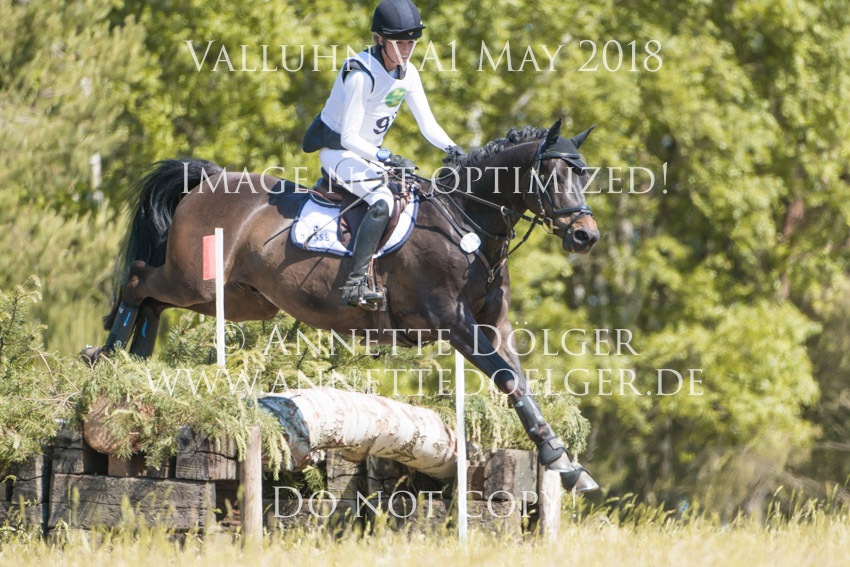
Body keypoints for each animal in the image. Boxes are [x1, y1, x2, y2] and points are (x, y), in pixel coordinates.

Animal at [87, 119, 601, 492]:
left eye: (583, 173)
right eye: (552, 174)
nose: (585, 236)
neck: (468, 223)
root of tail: (209, 180)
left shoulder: (495, 324)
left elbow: (519, 380)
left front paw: (569, 467)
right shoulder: (452, 322)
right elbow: (508, 378)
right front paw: (558, 459)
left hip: (236, 299)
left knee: (153, 302)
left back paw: (136, 367)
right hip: (196, 280)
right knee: (138, 281)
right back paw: (106, 359)